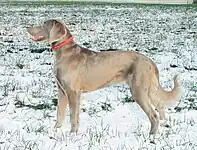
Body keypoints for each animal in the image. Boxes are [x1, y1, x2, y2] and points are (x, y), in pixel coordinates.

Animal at [26, 19, 181, 137]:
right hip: (148, 89)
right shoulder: (61, 90)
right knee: (160, 105)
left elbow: (73, 116)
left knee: (153, 114)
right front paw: (56, 130)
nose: (27, 28)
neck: (64, 53)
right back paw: (163, 125)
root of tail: (150, 61)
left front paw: (72, 134)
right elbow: (60, 113)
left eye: (43, 25)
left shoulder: (72, 92)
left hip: (139, 90)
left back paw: (151, 135)